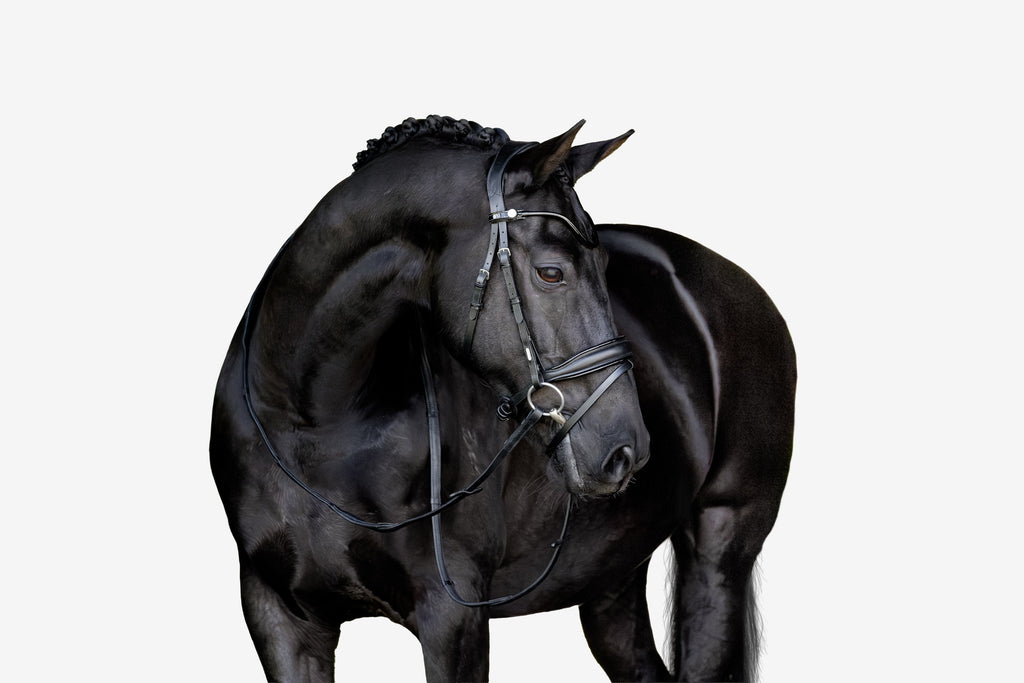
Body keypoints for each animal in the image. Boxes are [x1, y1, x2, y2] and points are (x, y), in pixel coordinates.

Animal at [210, 115, 795, 682]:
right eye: (551, 272)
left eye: (607, 268)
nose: (626, 451)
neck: (313, 423)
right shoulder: (280, 616)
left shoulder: (453, 619)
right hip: (612, 573)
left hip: (720, 542)